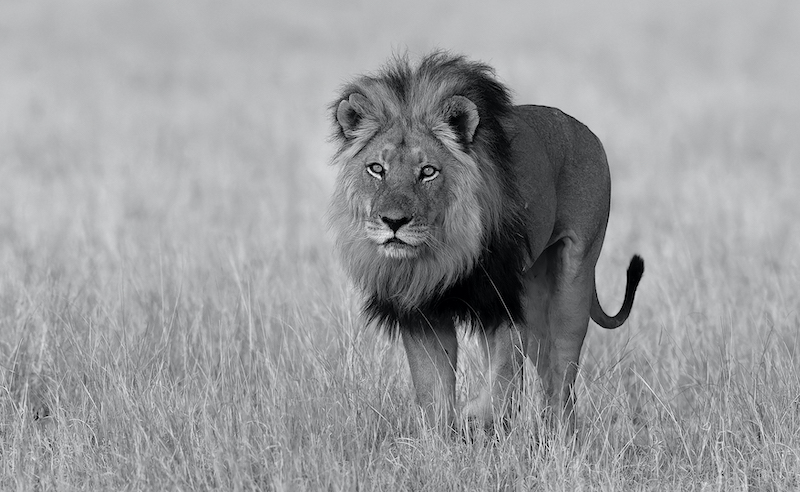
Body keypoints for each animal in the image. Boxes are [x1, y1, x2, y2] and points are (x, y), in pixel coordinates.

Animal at [328, 52, 644, 434]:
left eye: (428, 172)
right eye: (376, 169)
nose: (393, 222)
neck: (440, 254)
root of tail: (584, 129)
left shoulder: (503, 302)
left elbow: (503, 379)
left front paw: (475, 417)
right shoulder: (422, 314)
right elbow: (433, 389)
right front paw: (442, 440)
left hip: (573, 281)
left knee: (563, 371)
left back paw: (562, 434)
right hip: (535, 292)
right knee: (546, 367)